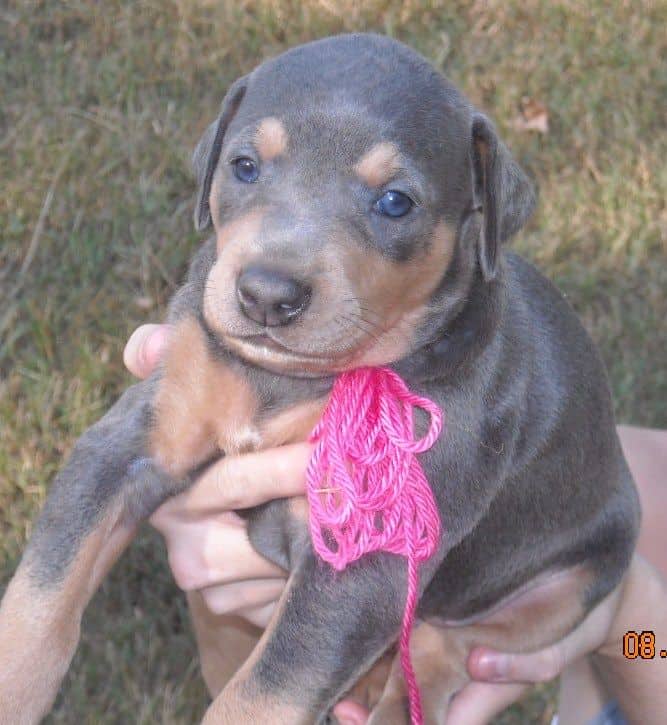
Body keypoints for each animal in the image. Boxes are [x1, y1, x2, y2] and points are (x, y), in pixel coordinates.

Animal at [0, 34, 640, 724]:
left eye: (395, 202)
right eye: (245, 166)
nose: (266, 295)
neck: (297, 382)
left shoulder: (373, 552)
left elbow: (267, 689)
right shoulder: (135, 437)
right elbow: (44, 589)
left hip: (571, 583)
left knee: (444, 646)